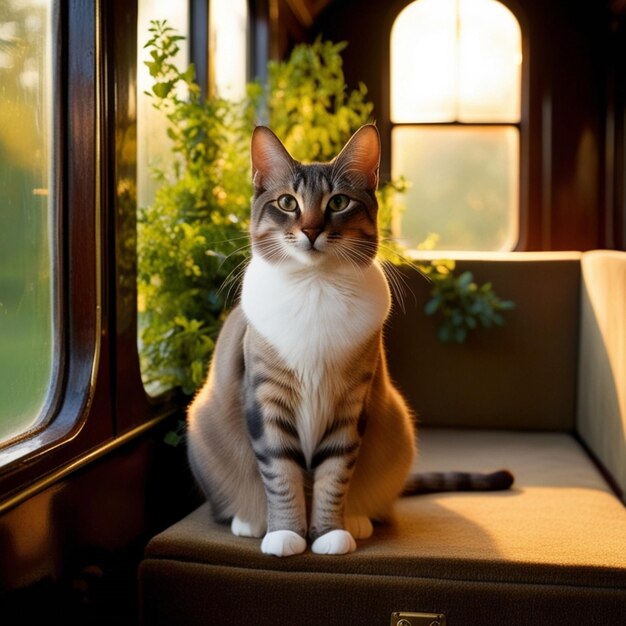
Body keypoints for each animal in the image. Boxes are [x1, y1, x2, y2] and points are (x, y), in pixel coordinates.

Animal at [186, 124, 512, 552]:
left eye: (338, 202)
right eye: (288, 202)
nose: (310, 230)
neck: (315, 286)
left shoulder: (351, 401)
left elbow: (334, 474)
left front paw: (329, 534)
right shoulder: (267, 398)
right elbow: (281, 474)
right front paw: (286, 534)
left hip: (397, 425)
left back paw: (357, 520)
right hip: (202, 420)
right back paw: (251, 521)